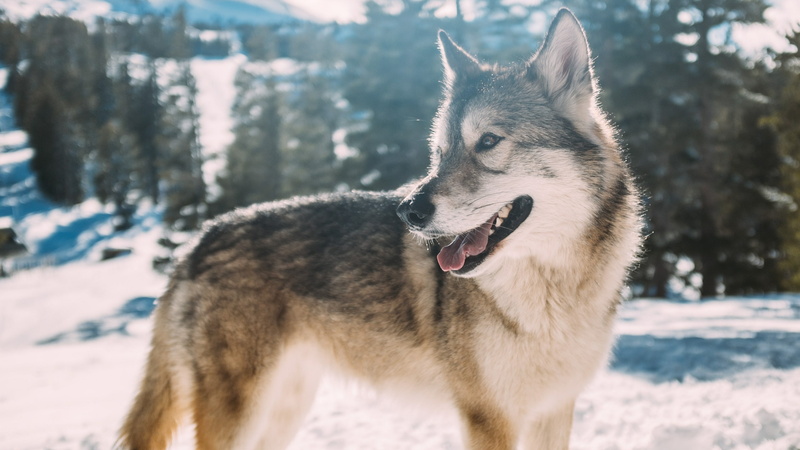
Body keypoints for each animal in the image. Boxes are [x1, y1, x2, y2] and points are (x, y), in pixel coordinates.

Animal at [119, 8, 641, 450]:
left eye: (489, 141)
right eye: (439, 153)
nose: (409, 210)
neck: (554, 292)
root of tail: (199, 239)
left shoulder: (555, 410)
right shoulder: (488, 418)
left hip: (283, 411)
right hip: (242, 415)